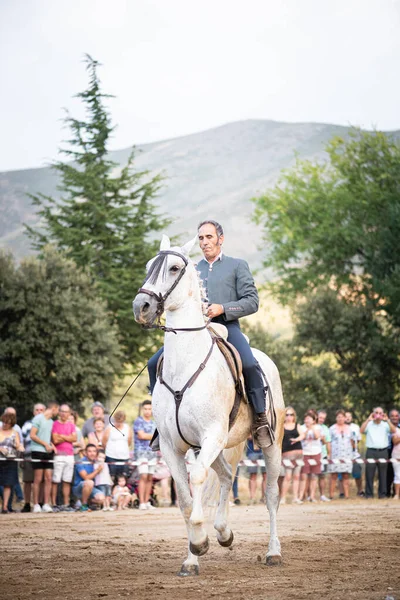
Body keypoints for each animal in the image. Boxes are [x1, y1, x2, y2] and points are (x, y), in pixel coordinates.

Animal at [134, 236, 284, 576]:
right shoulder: (173, 446)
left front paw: (200, 540)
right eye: (149, 266)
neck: (185, 363)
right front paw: (193, 555)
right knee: (227, 476)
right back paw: (224, 533)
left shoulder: (211, 435)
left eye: (174, 267)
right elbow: (185, 497)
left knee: (270, 496)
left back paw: (273, 552)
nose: (141, 307)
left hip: (271, 445)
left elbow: (198, 479)